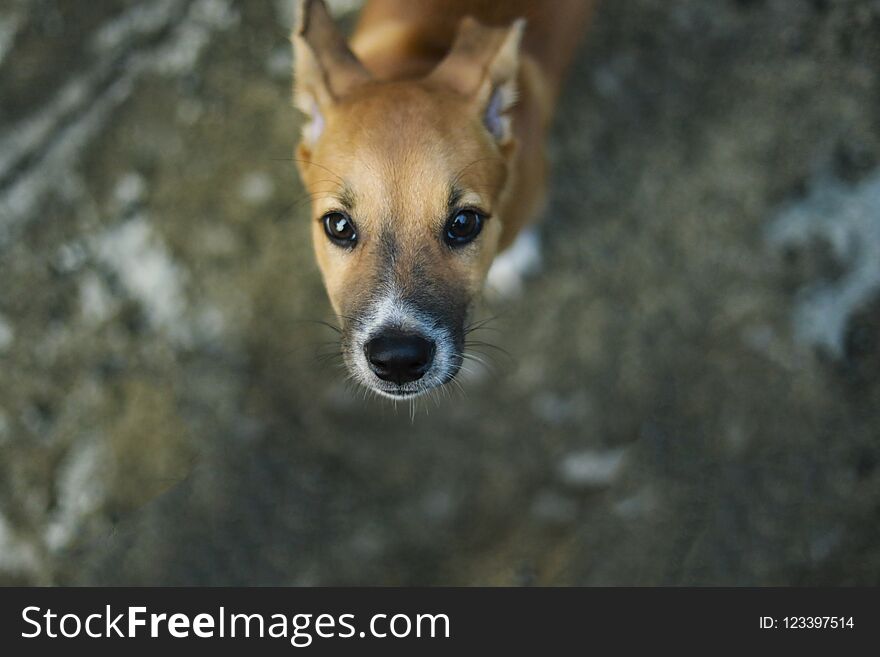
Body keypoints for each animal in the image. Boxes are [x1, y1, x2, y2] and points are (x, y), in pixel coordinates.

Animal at [292, 0, 596, 398]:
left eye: (464, 223)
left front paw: (512, 258)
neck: (419, 62)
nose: (398, 359)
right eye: (338, 225)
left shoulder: (535, 186)